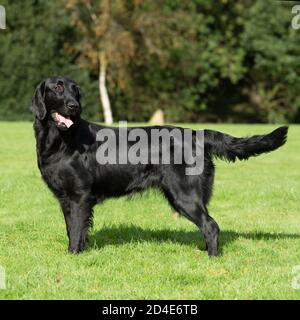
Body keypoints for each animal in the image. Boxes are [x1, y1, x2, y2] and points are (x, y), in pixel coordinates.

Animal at [31, 76, 288, 256]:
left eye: (75, 91)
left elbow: (76, 230)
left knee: (211, 225)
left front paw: (73, 255)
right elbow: (72, 228)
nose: (74, 106)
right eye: (58, 88)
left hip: (184, 195)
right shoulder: (66, 198)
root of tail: (196, 133)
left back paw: (212, 258)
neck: (62, 139)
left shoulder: (79, 196)